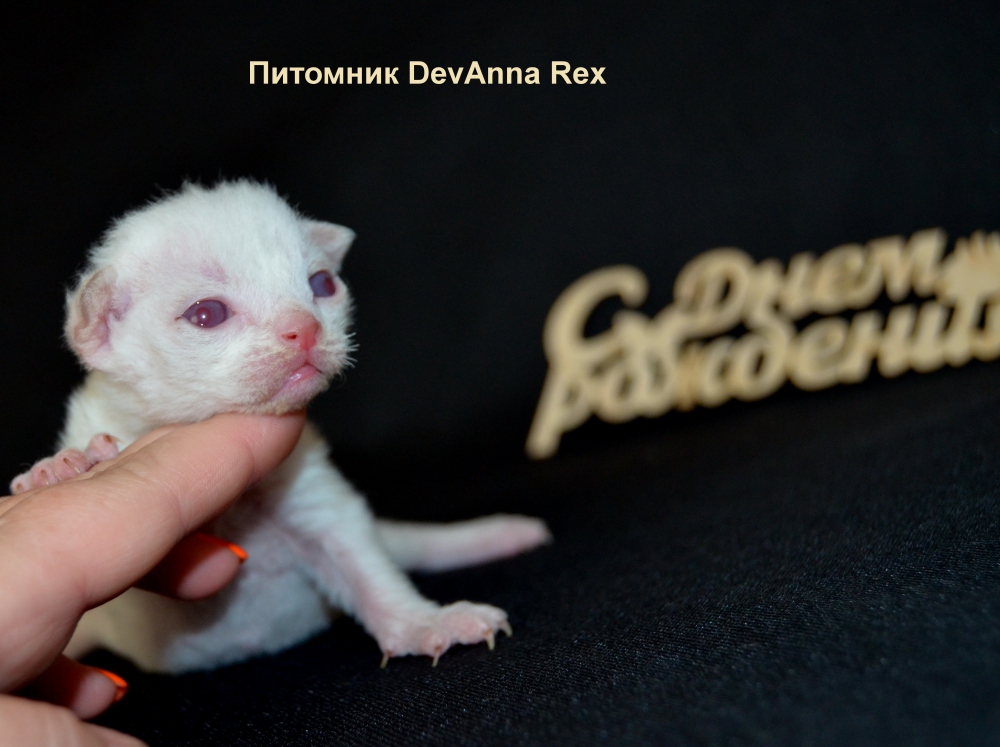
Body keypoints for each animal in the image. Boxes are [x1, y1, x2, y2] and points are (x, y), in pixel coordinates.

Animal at [11, 180, 551, 673]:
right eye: (206, 313)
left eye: (321, 284)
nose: (306, 328)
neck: (239, 509)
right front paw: (63, 467)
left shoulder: (314, 496)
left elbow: (363, 564)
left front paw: (425, 623)